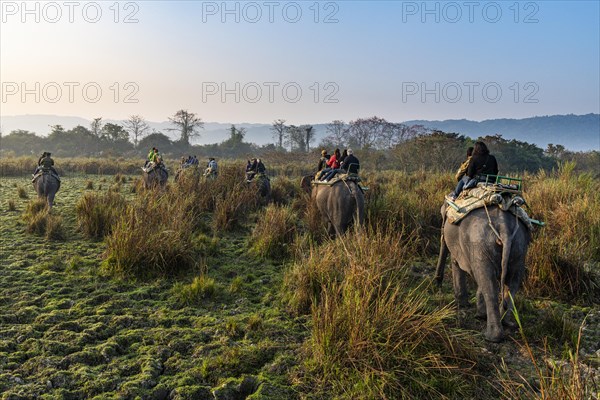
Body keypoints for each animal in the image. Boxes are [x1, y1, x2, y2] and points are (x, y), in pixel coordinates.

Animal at [436, 205, 528, 342]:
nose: (438, 283)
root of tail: (504, 227)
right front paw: (480, 313)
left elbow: (456, 263)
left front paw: (462, 304)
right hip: (519, 248)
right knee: (512, 283)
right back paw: (505, 322)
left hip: (480, 244)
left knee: (488, 284)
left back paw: (491, 336)